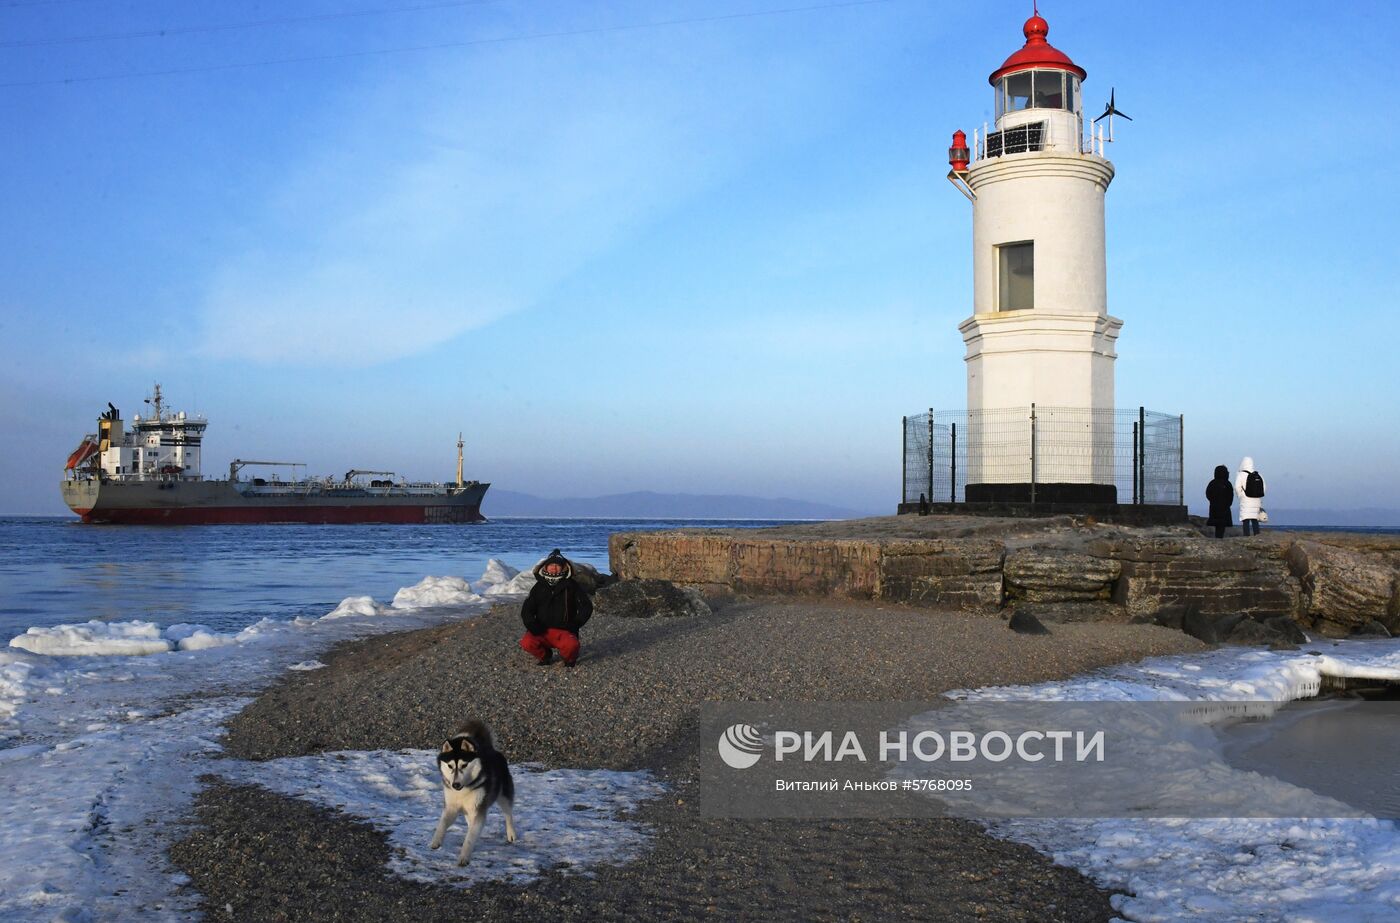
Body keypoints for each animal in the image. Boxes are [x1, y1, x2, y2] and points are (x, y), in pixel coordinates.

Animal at [428, 722, 518, 868]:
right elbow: (442, 823)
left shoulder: (478, 809)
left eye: (464, 765)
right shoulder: (451, 807)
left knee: (508, 813)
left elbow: (470, 837)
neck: (463, 789)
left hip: (503, 794)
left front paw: (464, 857)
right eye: (450, 766)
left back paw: (511, 833)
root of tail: (492, 750)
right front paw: (436, 840)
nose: (455, 785)